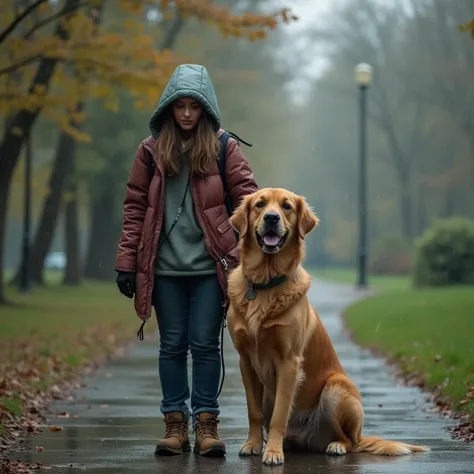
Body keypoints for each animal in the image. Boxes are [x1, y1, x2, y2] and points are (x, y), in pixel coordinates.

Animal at [226, 187, 430, 464]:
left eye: (286, 206)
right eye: (260, 204)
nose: (271, 218)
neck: (266, 283)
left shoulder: (289, 362)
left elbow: (280, 414)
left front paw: (273, 453)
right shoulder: (246, 361)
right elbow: (253, 412)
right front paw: (253, 445)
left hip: (336, 390)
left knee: (349, 441)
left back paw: (335, 446)